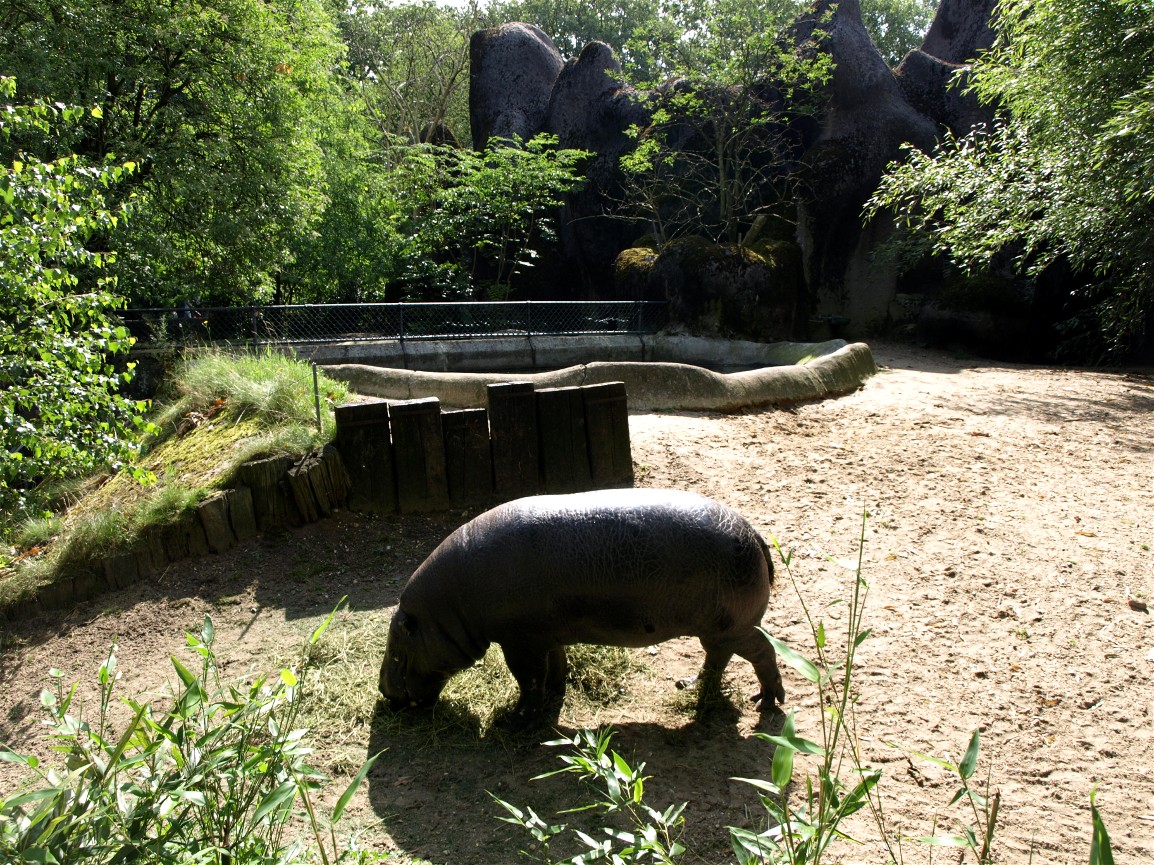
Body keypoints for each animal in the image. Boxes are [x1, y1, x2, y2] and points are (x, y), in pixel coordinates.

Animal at [378, 488, 784, 724]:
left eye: (397, 651)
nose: (383, 692)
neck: (450, 609)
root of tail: (755, 533)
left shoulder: (519, 641)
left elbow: (527, 679)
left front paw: (515, 720)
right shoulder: (544, 633)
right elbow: (555, 662)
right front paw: (558, 690)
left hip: (735, 627)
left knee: (762, 652)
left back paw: (766, 702)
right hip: (716, 630)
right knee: (716, 659)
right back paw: (689, 686)